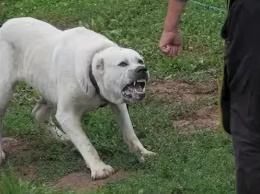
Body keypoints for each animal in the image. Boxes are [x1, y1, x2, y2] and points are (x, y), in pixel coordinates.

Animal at [0, 17, 154, 180]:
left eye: (140, 61)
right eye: (122, 64)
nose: (142, 70)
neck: (91, 69)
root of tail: (4, 25)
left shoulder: (119, 105)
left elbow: (130, 133)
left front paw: (143, 152)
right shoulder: (67, 115)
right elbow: (86, 144)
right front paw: (99, 168)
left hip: (48, 89)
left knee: (38, 113)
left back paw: (61, 136)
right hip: (4, 92)